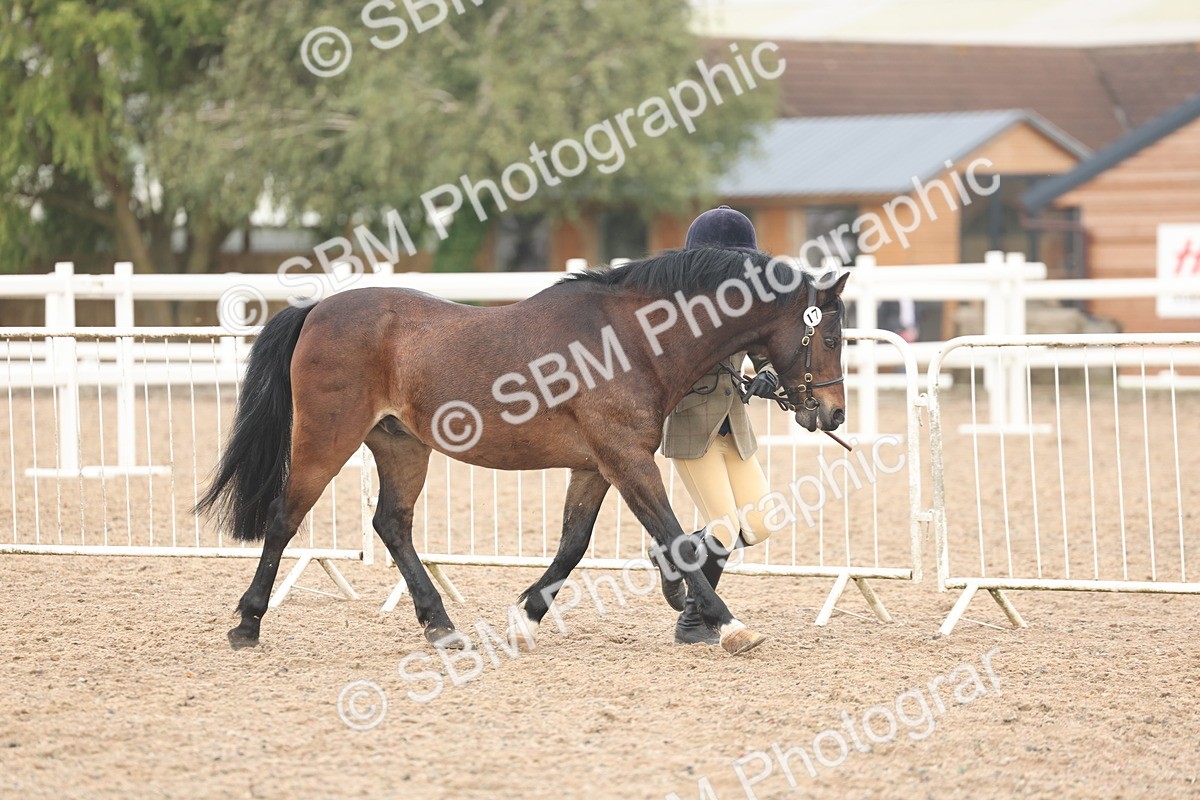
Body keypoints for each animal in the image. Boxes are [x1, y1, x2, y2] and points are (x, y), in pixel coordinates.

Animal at [196, 247, 849, 656]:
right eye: (832, 335)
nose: (834, 414)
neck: (634, 340)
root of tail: (317, 310)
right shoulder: (627, 461)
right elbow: (676, 541)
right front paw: (731, 625)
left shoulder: (595, 466)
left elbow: (573, 545)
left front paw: (526, 616)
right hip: (327, 438)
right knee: (285, 517)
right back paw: (248, 622)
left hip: (402, 446)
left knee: (392, 524)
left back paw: (441, 626)